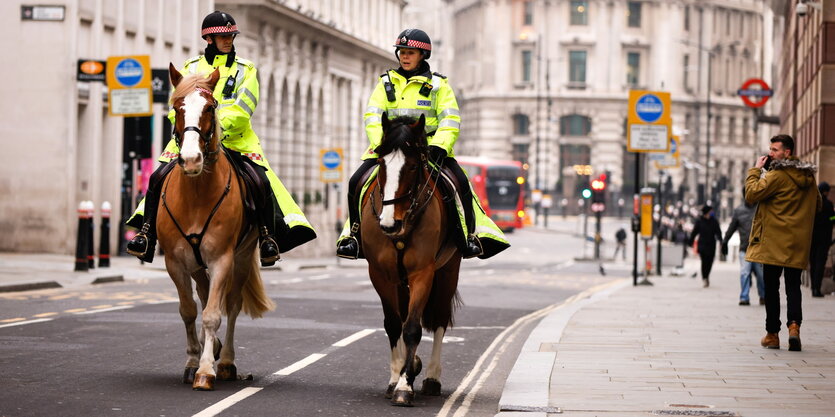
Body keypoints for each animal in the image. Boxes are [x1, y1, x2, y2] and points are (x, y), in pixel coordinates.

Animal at [156, 64, 274, 390]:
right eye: (176, 107)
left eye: (211, 106)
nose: (191, 159)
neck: (196, 194)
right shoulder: (175, 262)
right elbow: (188, 310)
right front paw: (192, 362)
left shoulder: (223, 258)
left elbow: (213, 314)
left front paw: (206, 369)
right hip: (196, 264)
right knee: (205, 292)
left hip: (241, 258)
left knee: (229, 304)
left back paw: (227, 361)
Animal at [360, 114, 464, 406]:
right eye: (381, 163)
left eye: (414, 166)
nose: (389, 223)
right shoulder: (380, 274)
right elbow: (395, 324)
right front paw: (397, 377)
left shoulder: (422, 273)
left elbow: (413, 328)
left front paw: (405, 386)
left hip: (447, 272)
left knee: (439, 319)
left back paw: (430, 377)